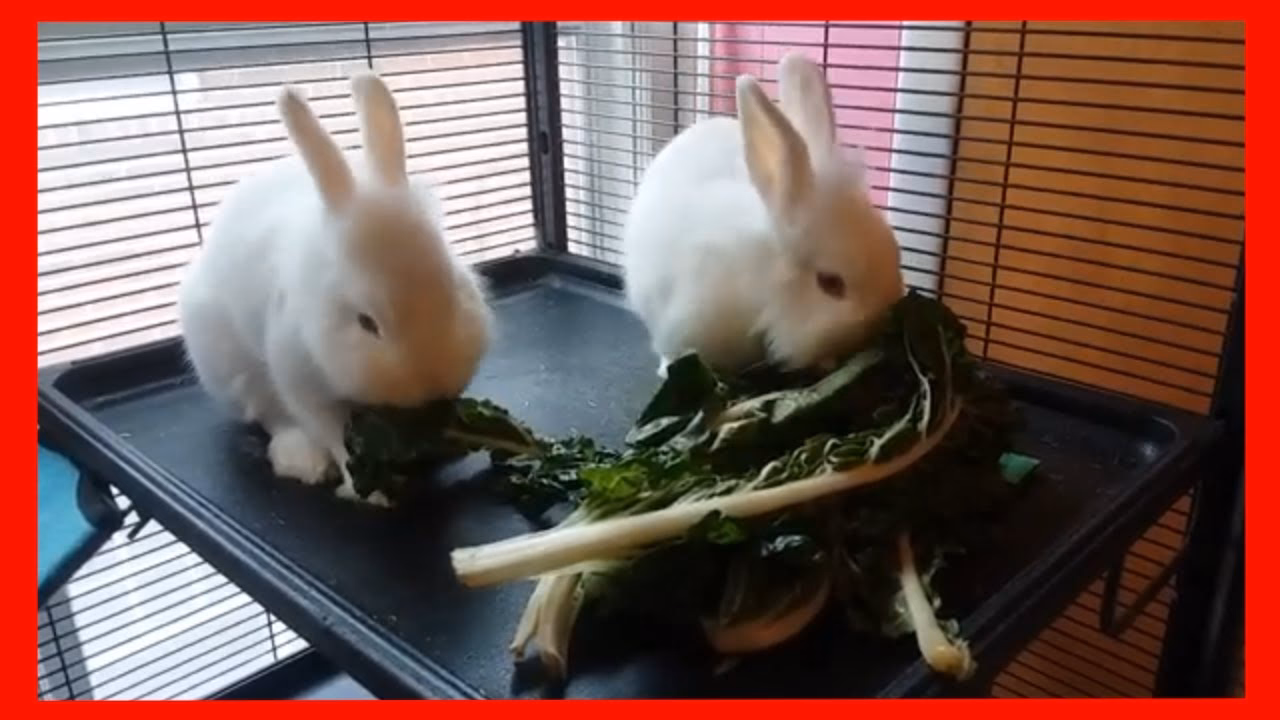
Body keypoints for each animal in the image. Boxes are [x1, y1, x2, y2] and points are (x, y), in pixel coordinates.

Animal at [177, 72, 494, 506]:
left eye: (455, 294)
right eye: (366, 323)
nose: (431, 389)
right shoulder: (301, 381)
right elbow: (330, 433)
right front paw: (371, 494)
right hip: (229, 369)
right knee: (270, 415)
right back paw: (302, 459)